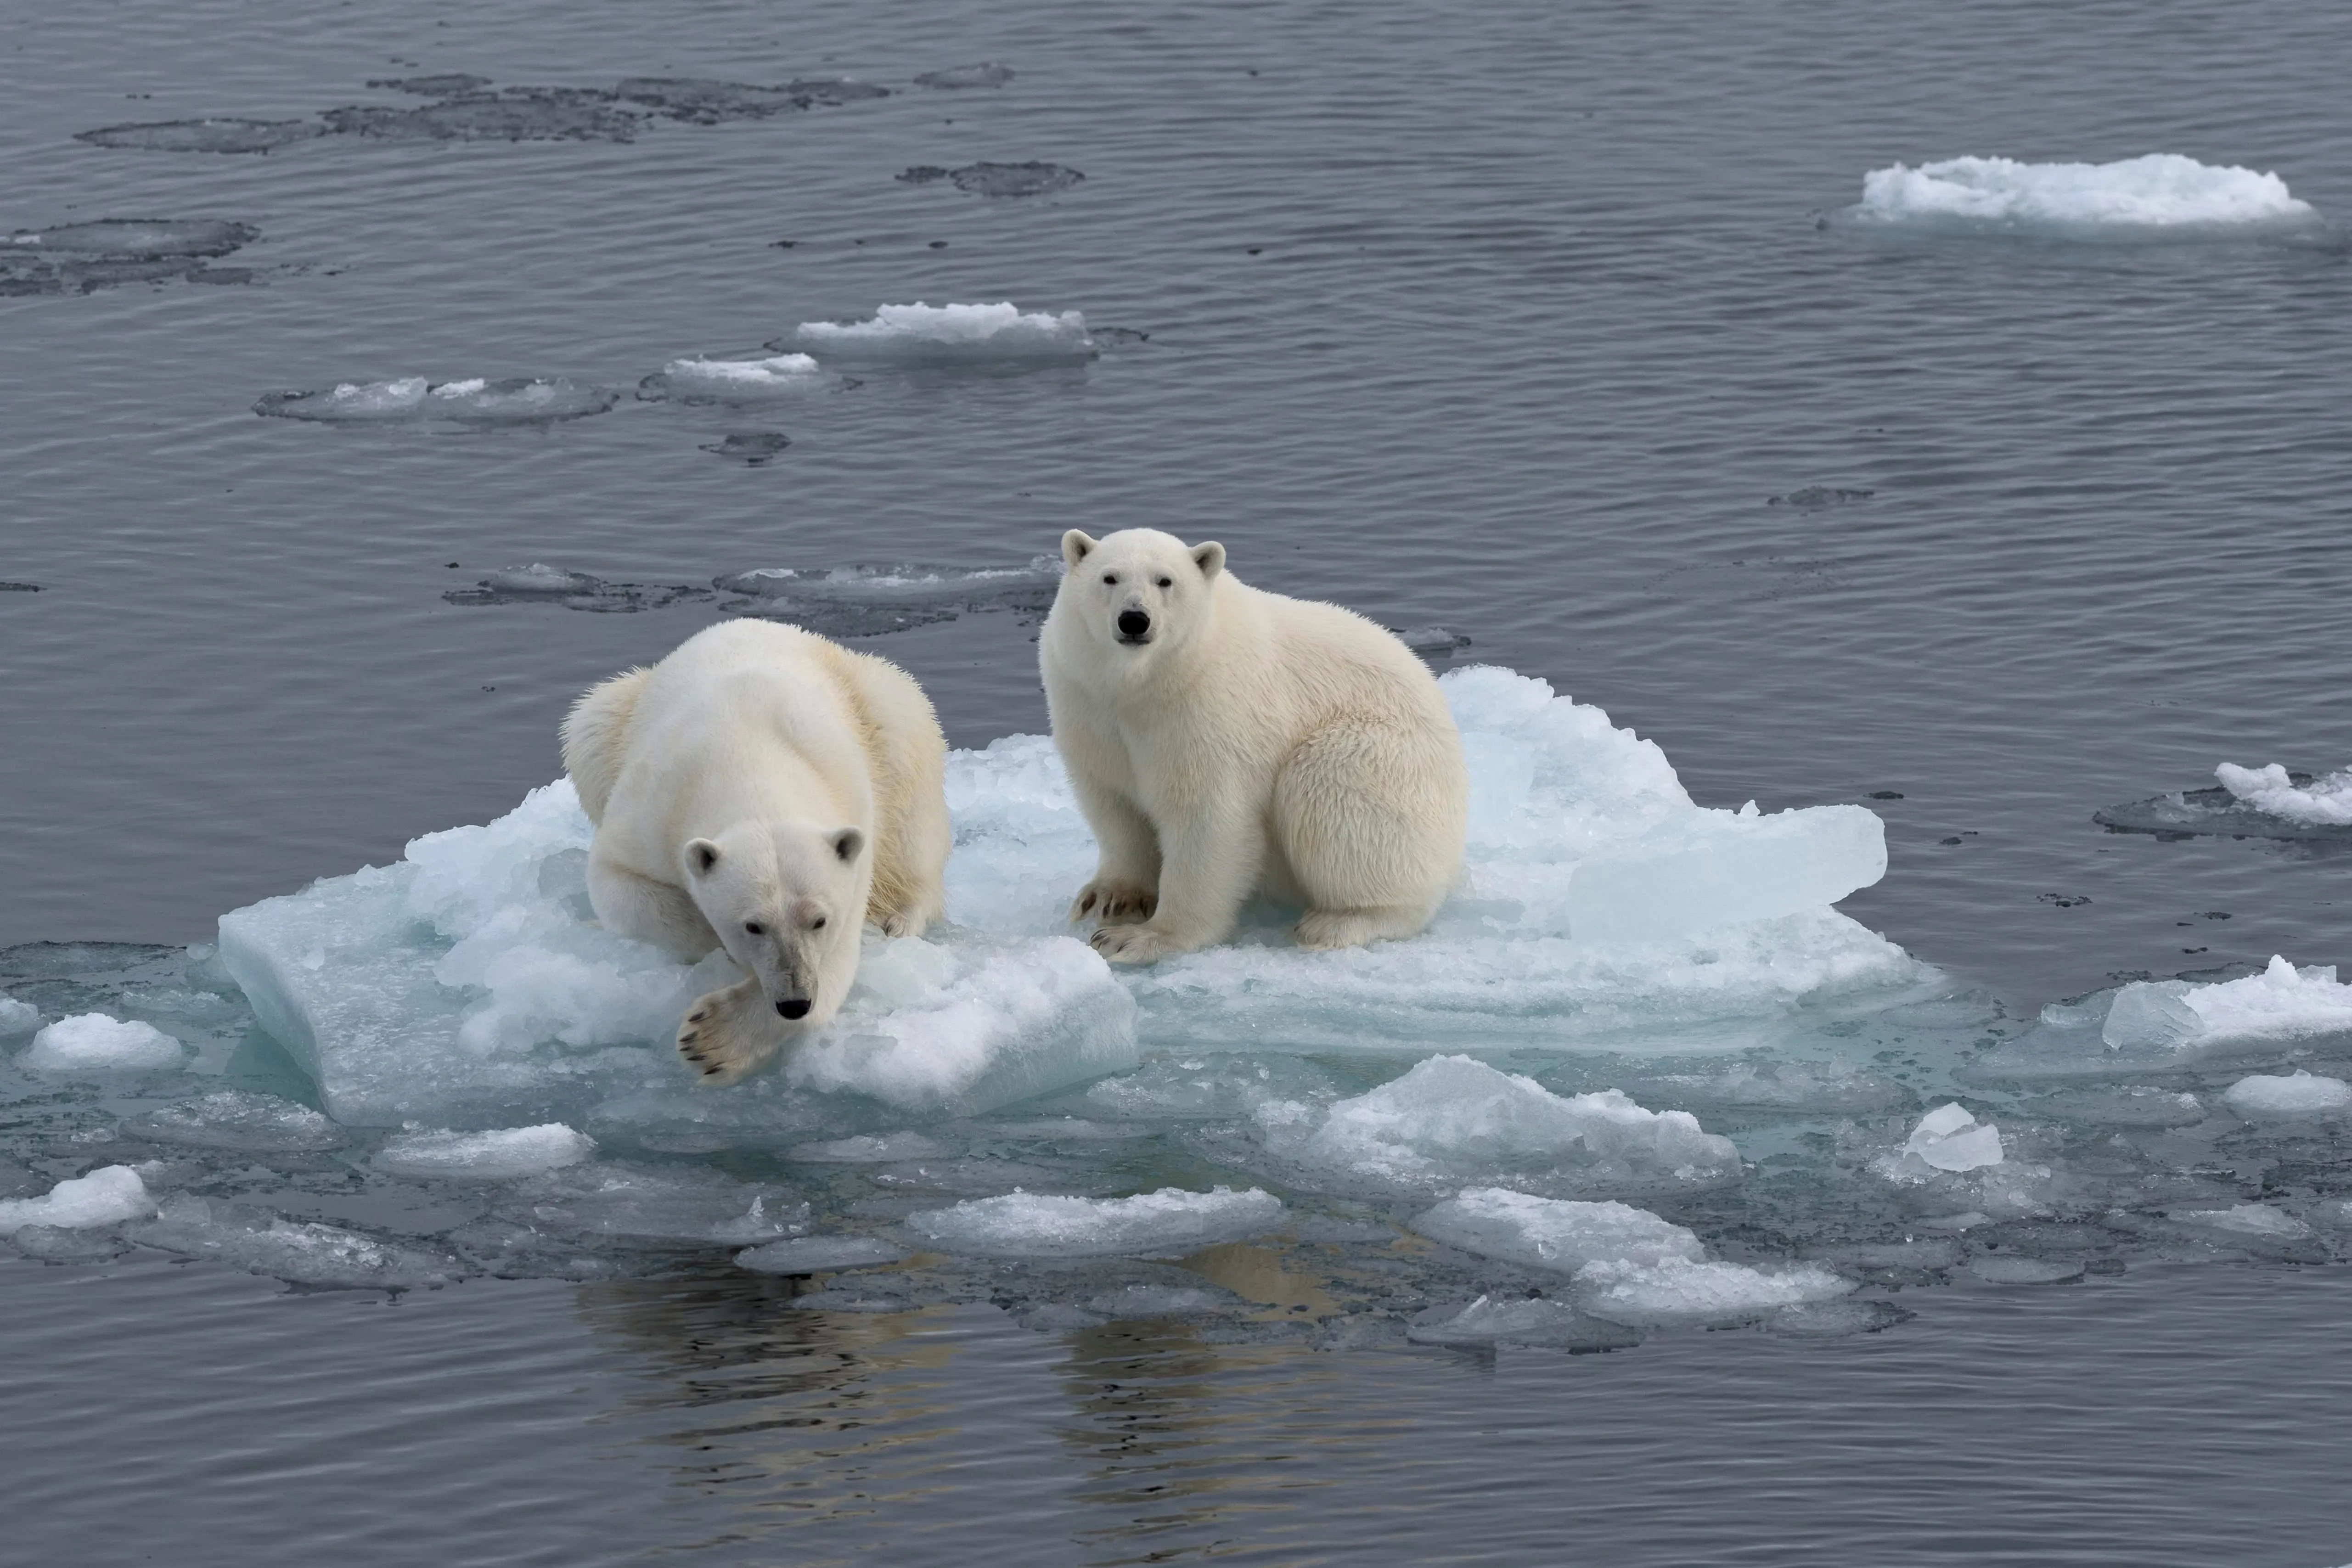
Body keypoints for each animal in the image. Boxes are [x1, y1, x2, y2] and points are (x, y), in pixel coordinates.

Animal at [560, 619, 950, 1083]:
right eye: (753, 925)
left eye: (819, 920)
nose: (794, 1000)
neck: (749, 754)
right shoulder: (655, 805)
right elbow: (617, 882)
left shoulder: (851, 831)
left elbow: (838, 961)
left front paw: (711, 1039)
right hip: (613, 721)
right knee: (589, 725)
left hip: (881, 711)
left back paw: (898, 917)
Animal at [1038, 527, 1468, 964]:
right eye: (1109, 578)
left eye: (1165, 580)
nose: (1134, 619)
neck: (1146, 683)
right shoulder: (1088, 703)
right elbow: (1113, 804)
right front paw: (1110, 898)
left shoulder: (1209, 710)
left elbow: (1208, 817)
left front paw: (1138, 938)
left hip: (1383, 759)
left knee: (1327, 790)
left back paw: (1337, 922)